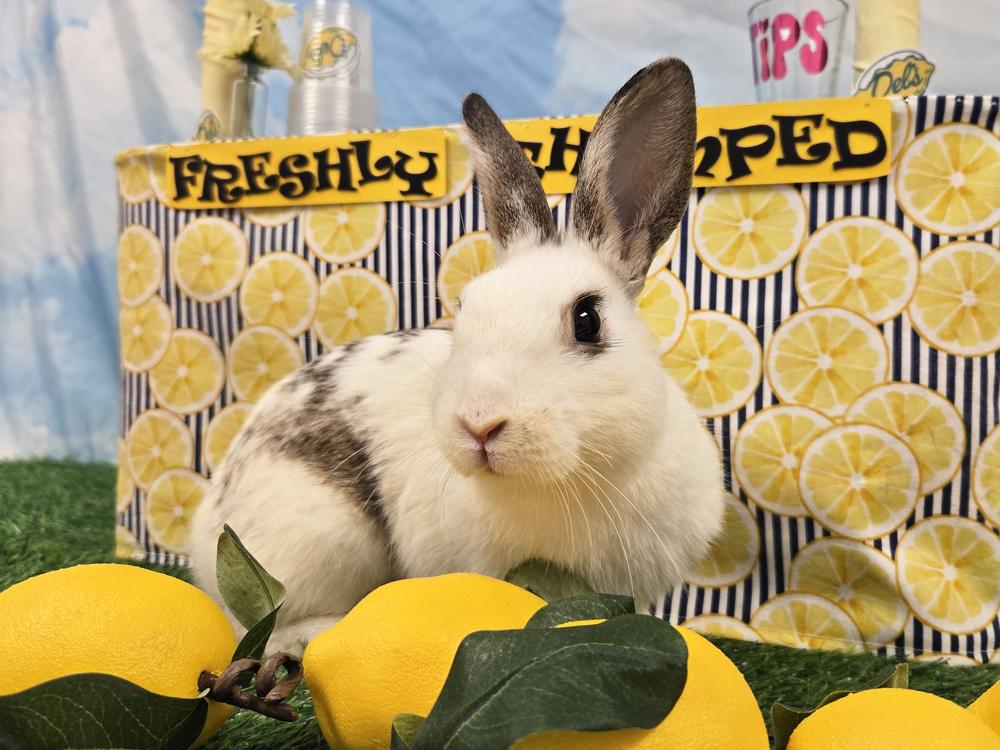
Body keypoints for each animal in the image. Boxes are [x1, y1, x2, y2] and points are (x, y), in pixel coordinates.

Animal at [189, 57, 725, 655]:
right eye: (465, 310)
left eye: (588, 320)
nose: (479, 424)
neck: (577, 479)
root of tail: (205, 529)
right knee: (256, 624)